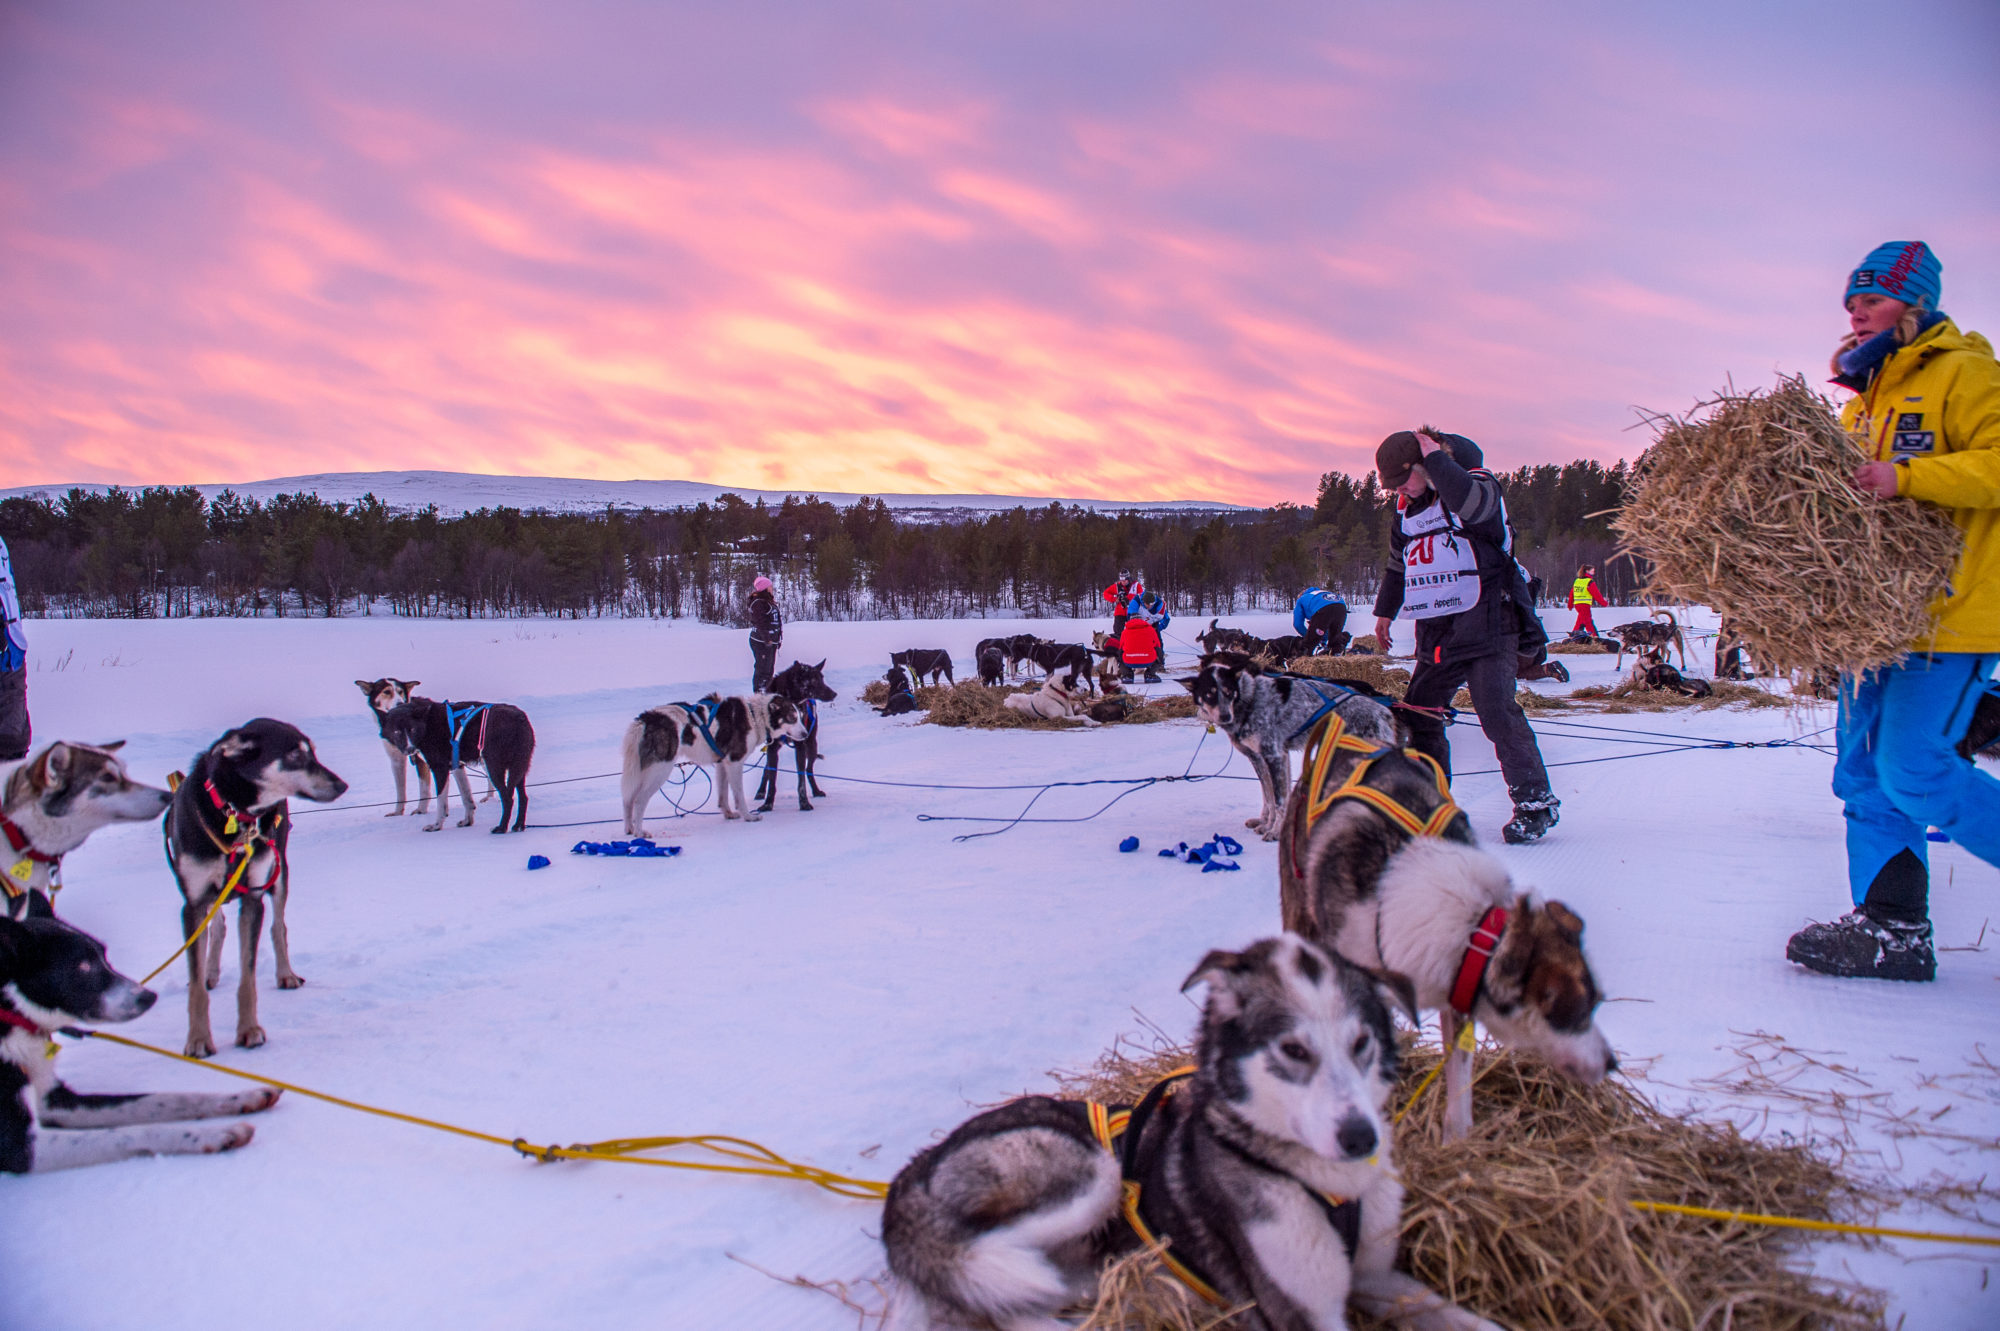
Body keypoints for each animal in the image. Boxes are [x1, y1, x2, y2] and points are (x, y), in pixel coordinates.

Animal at [888, 931, 1504, 1327]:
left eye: (1361, 1043)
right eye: (1293, 1050)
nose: (1361, 1138)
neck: (1326, 1186)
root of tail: (913, 1170)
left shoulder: (1379, 1279)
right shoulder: (1304, 1311)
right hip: (1091, 1175)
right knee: (981, 1283)